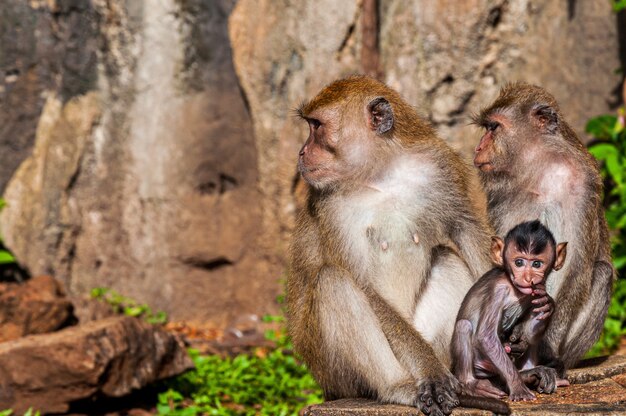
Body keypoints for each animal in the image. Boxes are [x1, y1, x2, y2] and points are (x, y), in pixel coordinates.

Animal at [450, 219, 568, 402]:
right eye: (518, 262)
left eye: (536, 264)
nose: (527, 277)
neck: (515, 289)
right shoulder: (498, 291)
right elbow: (486, 337)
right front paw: (517, 386)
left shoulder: (535, 292)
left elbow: (530, 334)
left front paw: (548, 304)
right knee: (464, 325)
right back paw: (471, 384)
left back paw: (528, 374)